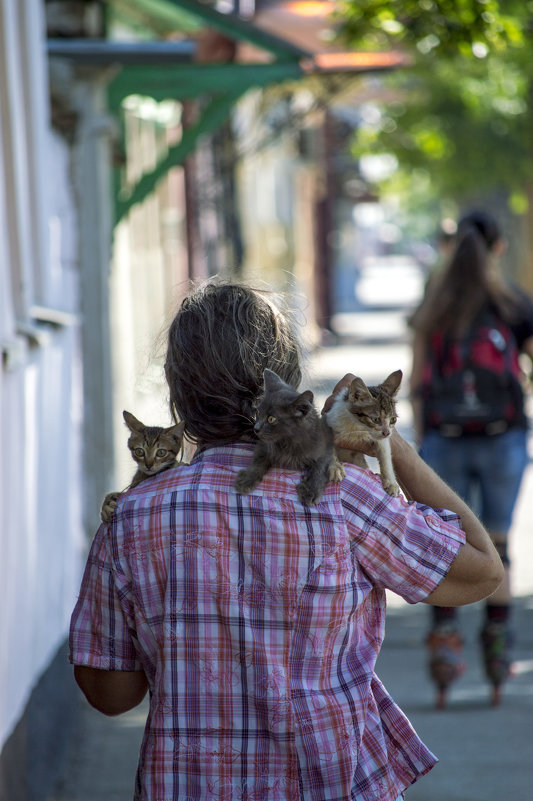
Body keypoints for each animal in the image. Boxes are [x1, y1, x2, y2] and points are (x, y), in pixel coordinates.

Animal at [234, 370, 342, 506]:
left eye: (271, 419)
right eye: (258, 413)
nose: (256, 428)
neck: (288, 442)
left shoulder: (325, 445)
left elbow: (320, 468)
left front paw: (311, 491)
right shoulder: (264, 445)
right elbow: (259, 461)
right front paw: (247, 478)